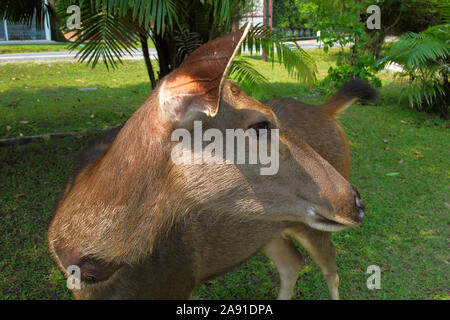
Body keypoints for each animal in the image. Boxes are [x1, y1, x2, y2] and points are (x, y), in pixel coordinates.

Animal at [47, 24, 376, 300]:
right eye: (261, 124)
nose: (357, 203)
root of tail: (326, 111)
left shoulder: (179, 282)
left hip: (312, 226)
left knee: (330, 268)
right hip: (269, 228)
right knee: (293, 263)